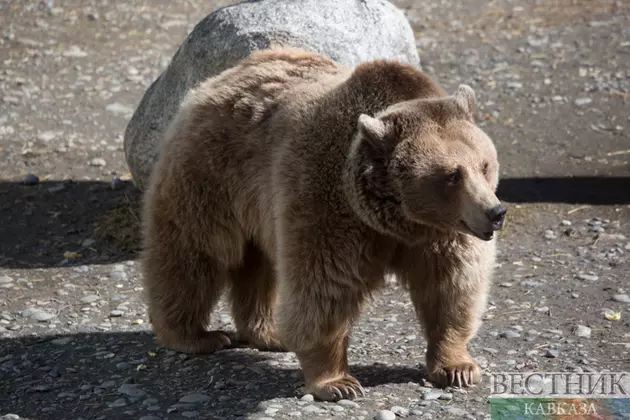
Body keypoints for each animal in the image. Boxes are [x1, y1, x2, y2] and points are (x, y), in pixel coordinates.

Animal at [141, 46, 506, 400]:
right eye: (452, 175)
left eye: (484, 165)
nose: (496, 212)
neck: (398, 219)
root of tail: (222, 77)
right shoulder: (327, 205)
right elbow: (324, 286)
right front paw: (337, 382)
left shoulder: (443, 235)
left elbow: (451, 288)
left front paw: (458, 367)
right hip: (211, 175)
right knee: (193, 250)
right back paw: (194, 335)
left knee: (258, 265)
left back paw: (268, 332)